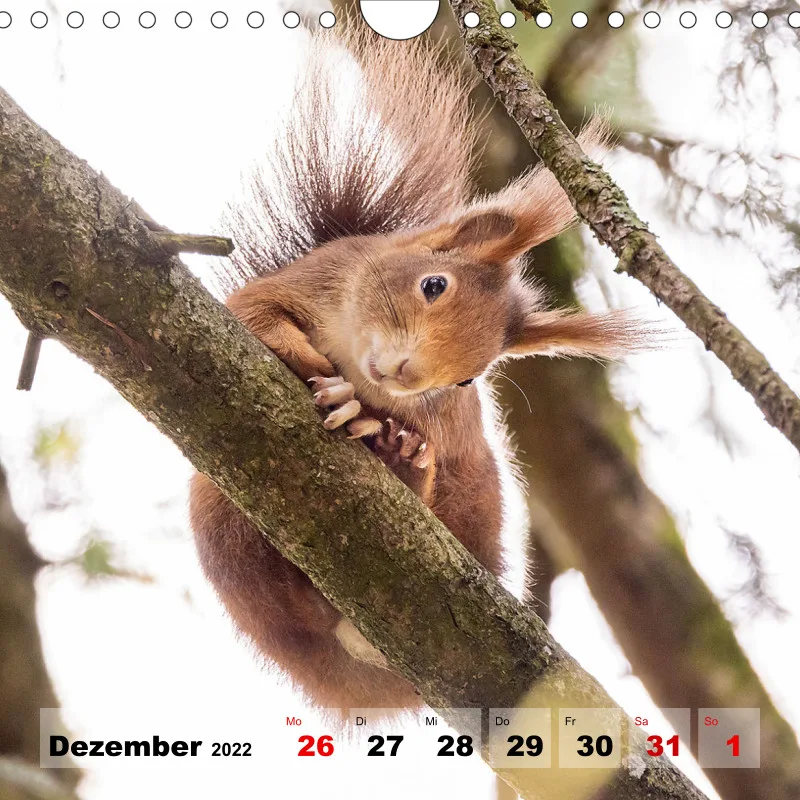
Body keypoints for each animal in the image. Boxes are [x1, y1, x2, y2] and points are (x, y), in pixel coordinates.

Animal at [188, 24, 638, 716]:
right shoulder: (302, 283)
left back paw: (398, 455)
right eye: (432, 284)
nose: (404, 375)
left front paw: (378, 421)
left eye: (467, 380)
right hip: (222, 518)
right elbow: (254, 312)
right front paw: (304, 355)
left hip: (476, 499)